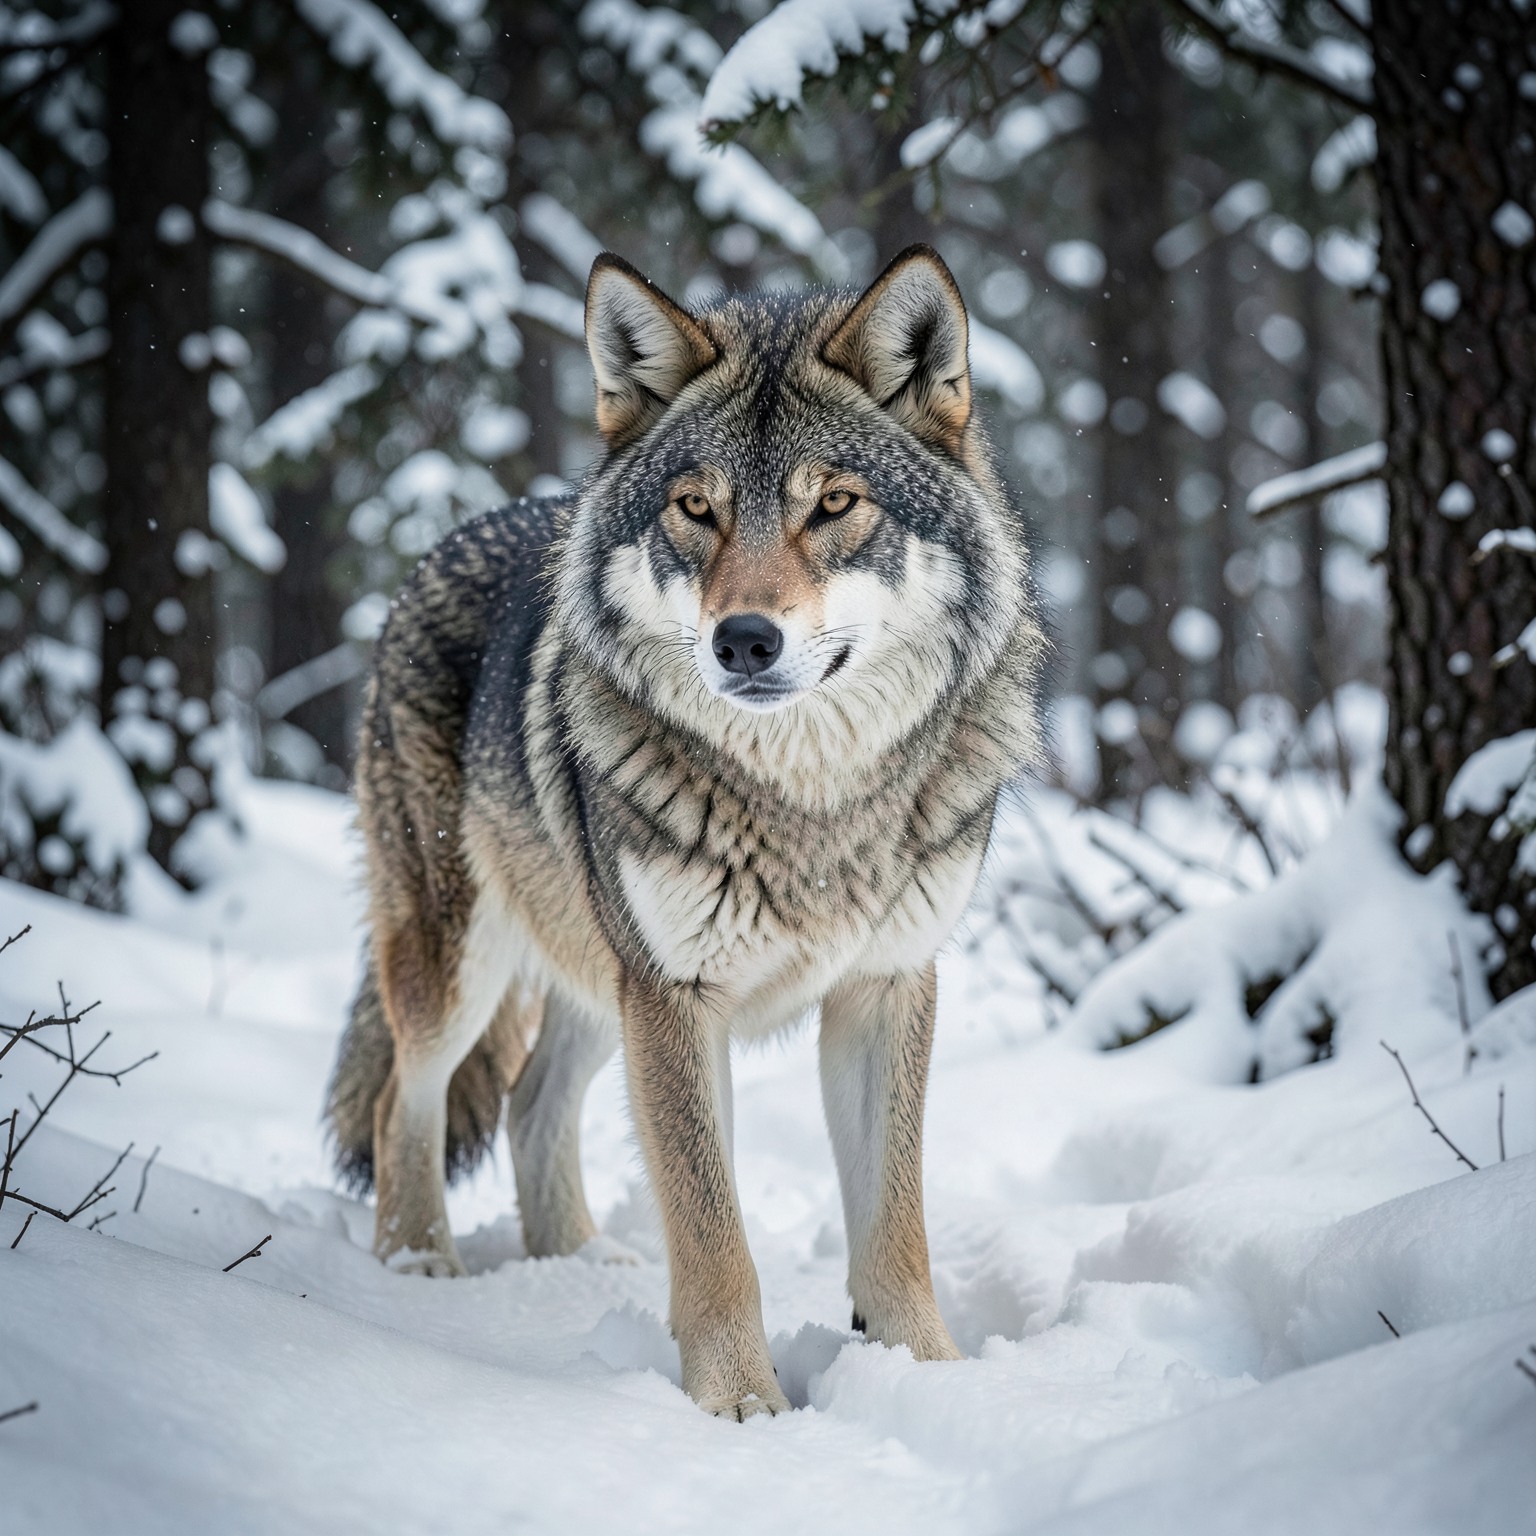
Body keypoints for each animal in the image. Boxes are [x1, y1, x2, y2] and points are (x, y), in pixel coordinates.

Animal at [325, 244, 1045, 1418]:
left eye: (833, 503)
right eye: (697, 508)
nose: (743, 639)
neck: (812, 808)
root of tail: (451, 536)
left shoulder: (885, 987)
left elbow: (895, 1228)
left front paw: (926, 1378)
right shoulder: (674, 998)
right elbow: (713, 1237)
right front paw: (740, 1406)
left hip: (592, 973)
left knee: (530, 1104)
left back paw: (574, 1262)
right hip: (464, 962)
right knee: (406, 1098)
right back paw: (418, 1259)